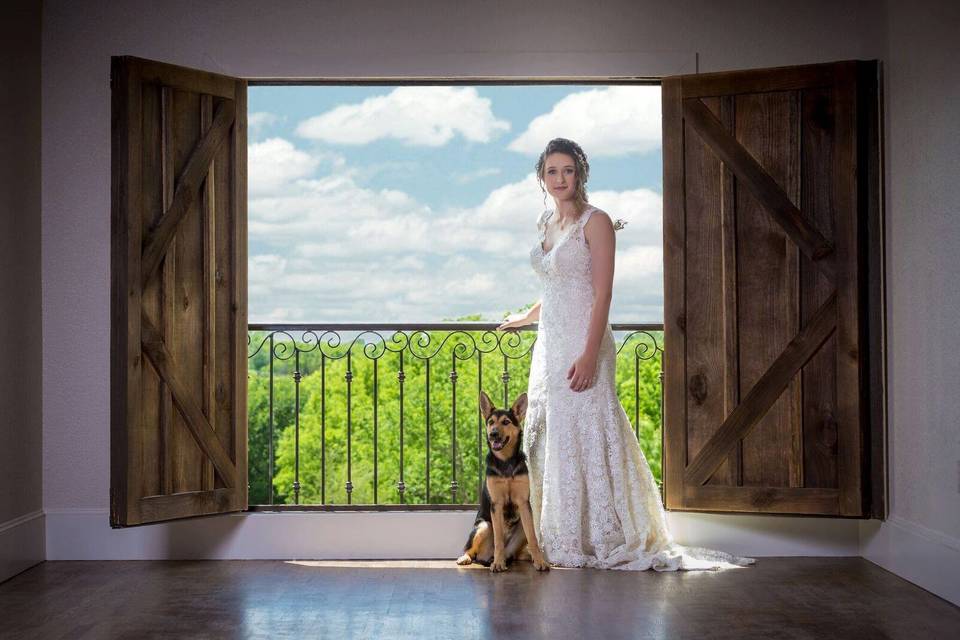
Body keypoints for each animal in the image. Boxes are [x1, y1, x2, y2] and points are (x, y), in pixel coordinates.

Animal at [456, 392, 548, 572]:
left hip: (520, 528)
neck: (505, 462)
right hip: (483, 526)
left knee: (519, 549)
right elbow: (498, 539)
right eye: (491, 422)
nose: (493, 434)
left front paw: (540, 561)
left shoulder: (523, 503)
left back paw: (524, 557)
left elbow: (533, 538)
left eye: (506, 422)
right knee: (470, 550)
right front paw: (498, 564)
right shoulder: (496, 504)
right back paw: (471, 558)